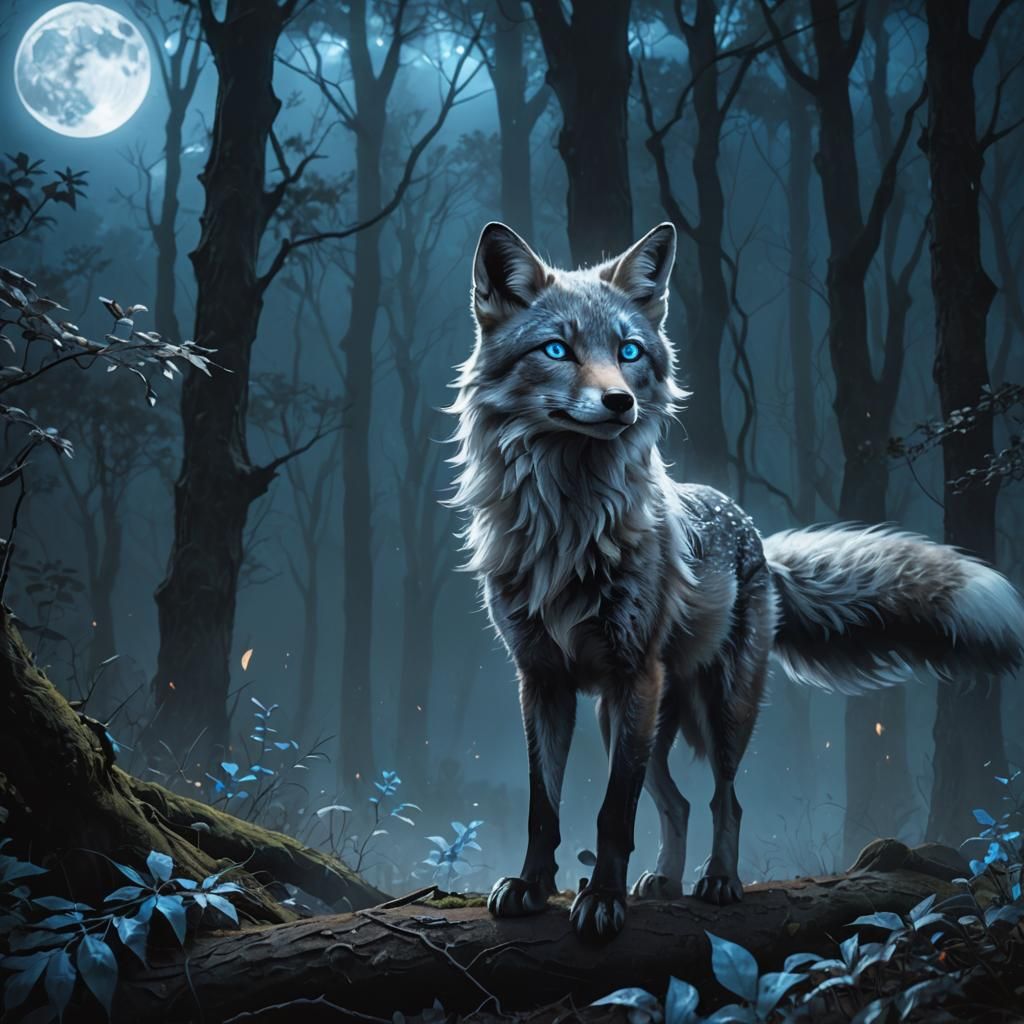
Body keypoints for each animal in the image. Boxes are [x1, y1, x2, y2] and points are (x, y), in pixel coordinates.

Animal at [446, 220, 1024, 944]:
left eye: (629, 351)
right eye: (557, 349)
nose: (620, 401)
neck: (568, 527)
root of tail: (757, 537)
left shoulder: (632, 671)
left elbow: (611, 814)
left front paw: (602, 901)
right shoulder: (542, 680)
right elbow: (542, 807)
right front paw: (531, 887)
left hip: (716, 709)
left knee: (726, 800)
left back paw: (718, 882)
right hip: (629, 719)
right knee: (679, 803)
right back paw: (663, 881)